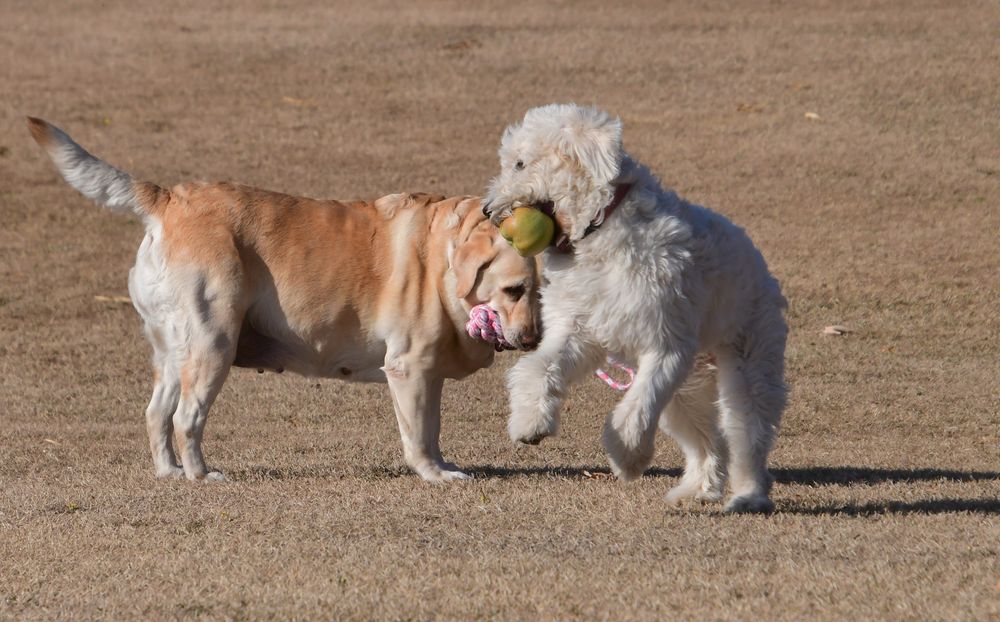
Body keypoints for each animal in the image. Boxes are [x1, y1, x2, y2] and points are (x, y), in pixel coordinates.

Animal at [484, 105, 788, 516]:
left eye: (520, 163)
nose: (487, 210)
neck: (599, 227)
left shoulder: (665, 347)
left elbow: (635, 410)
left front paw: (626, 458)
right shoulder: (577, 331)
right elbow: (537, 368)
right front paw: (530, 423)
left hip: (746, 368)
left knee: (747, 436)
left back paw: (749, 496)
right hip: (687, 389)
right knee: (709, 441)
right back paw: (699, 489)